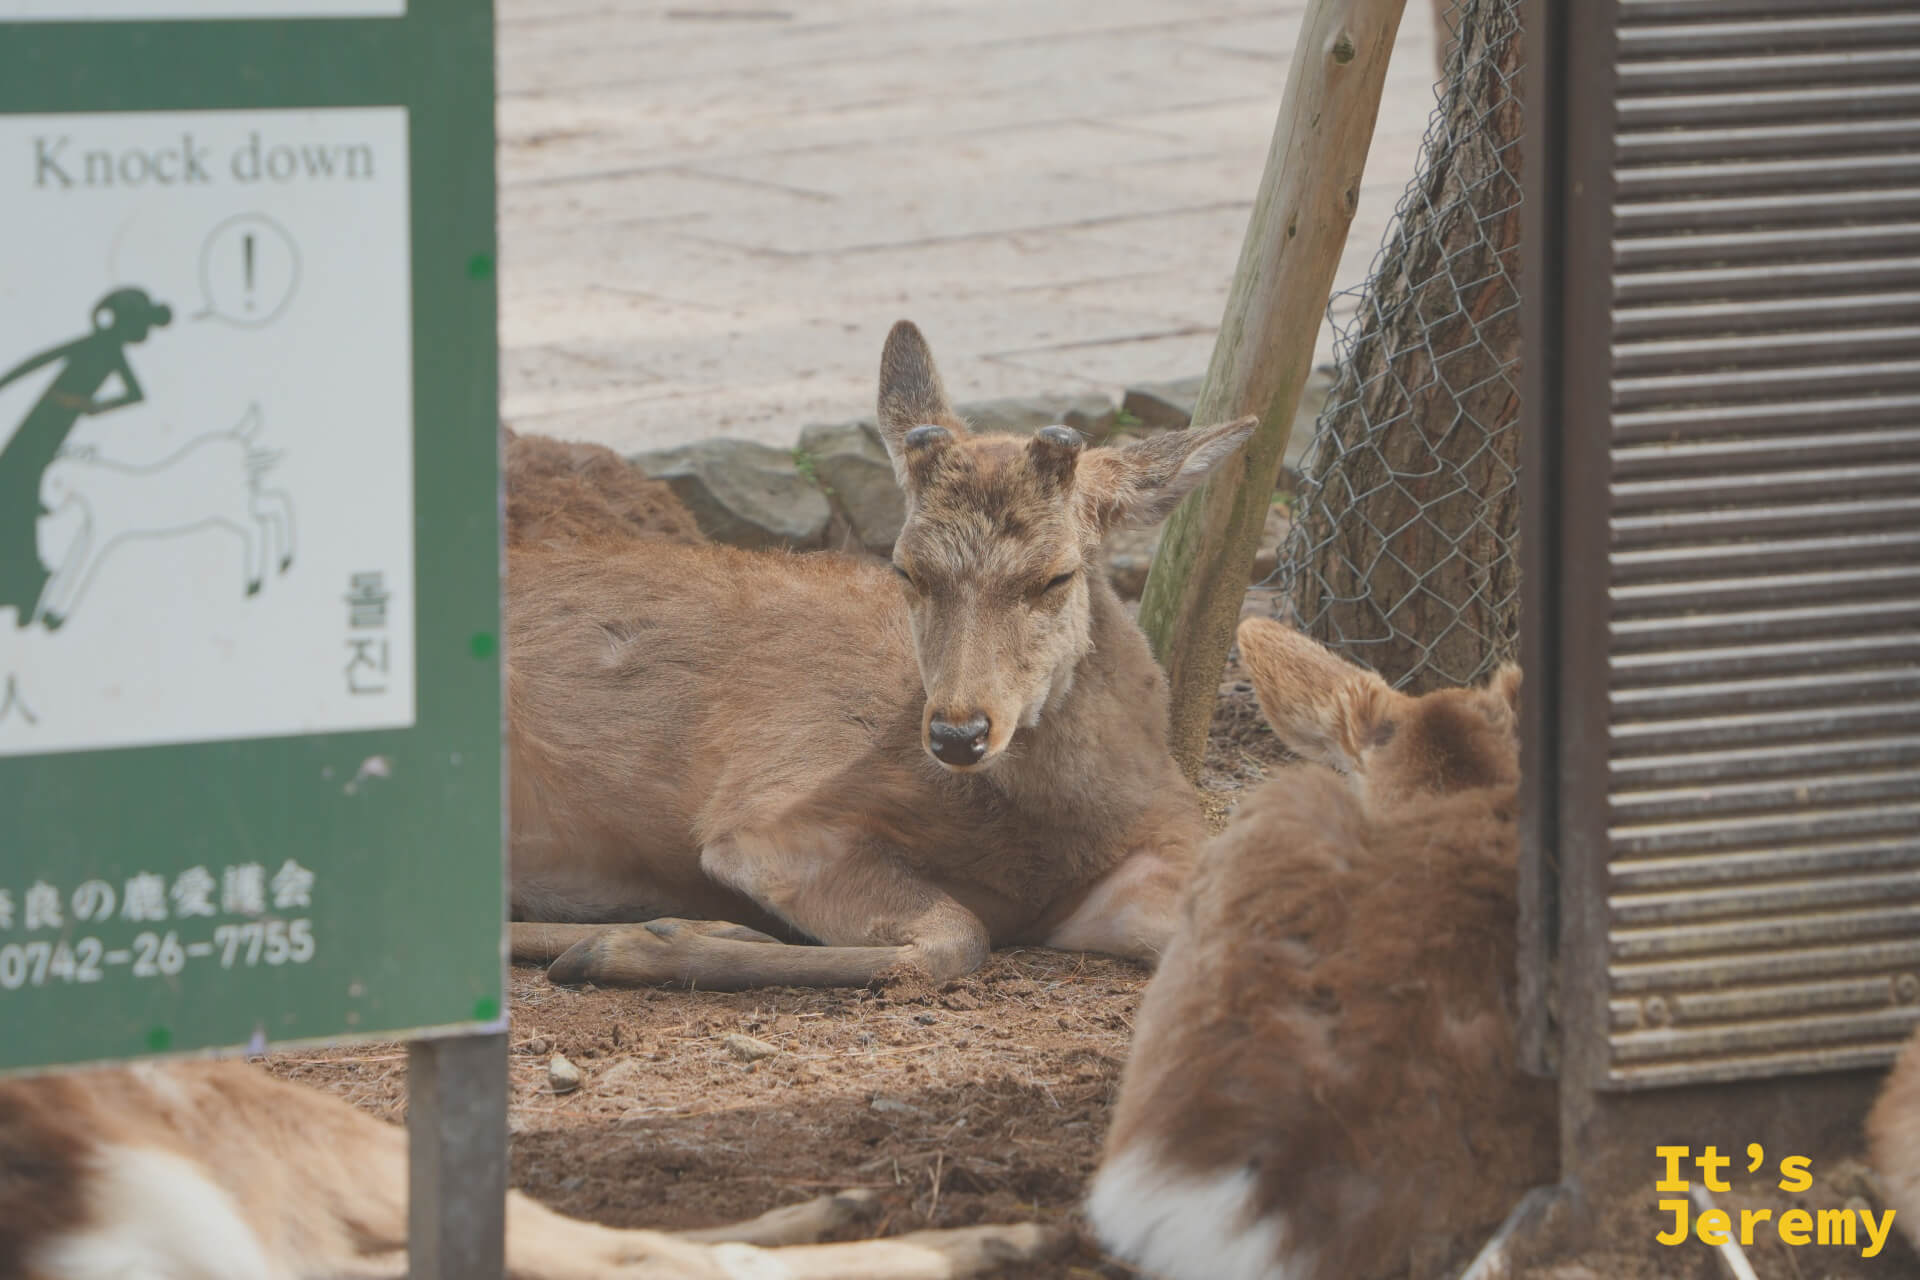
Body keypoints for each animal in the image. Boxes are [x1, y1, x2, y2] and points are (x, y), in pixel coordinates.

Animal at [504, 320, 1256, 991]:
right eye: (906, 568)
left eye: (1057, 575)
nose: (957, 733)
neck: (1056, 836)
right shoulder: (771, 819)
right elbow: (955, 937)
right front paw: (638, 942)